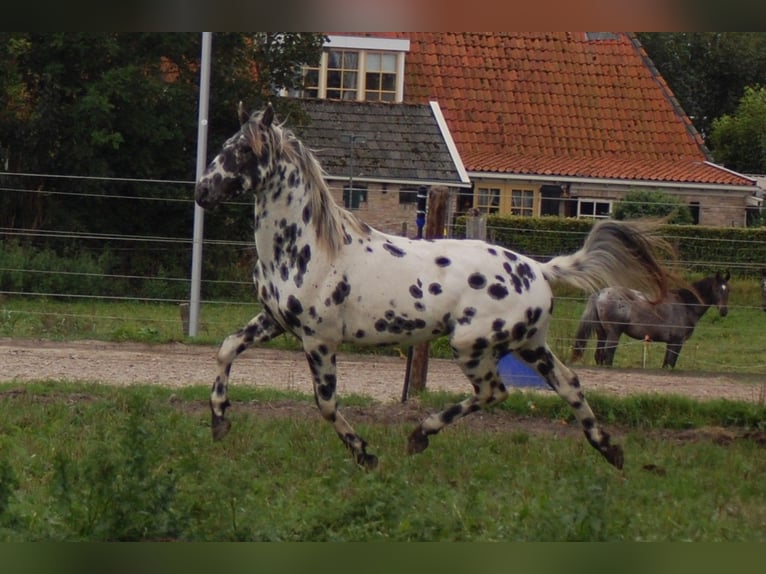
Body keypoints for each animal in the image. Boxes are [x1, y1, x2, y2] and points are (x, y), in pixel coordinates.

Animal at [195, 102, 676, 472]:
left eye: (244, 150)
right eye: (225, 145)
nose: (202, 191)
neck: (307, 247)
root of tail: (539, 270)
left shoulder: (320, 339)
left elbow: (327, 404)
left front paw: (366, 455)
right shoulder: (273, 320)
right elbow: (226, 348)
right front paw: (219, 420)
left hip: (472, 345)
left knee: (495, 392)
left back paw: (419, 435)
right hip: (530, 344)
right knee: (570, 384)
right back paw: (610, 450)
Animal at [576, 274, 732, 368]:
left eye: (728, 290)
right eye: (716, 289)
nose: (724, 311)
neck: (686, 305)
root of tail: (600, 293)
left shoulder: (670, 342)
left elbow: (666, 363)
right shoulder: (677, 342)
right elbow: (671, 363)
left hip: (602, 333)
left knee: (599, 355)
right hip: (614, 333)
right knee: (608, 355)